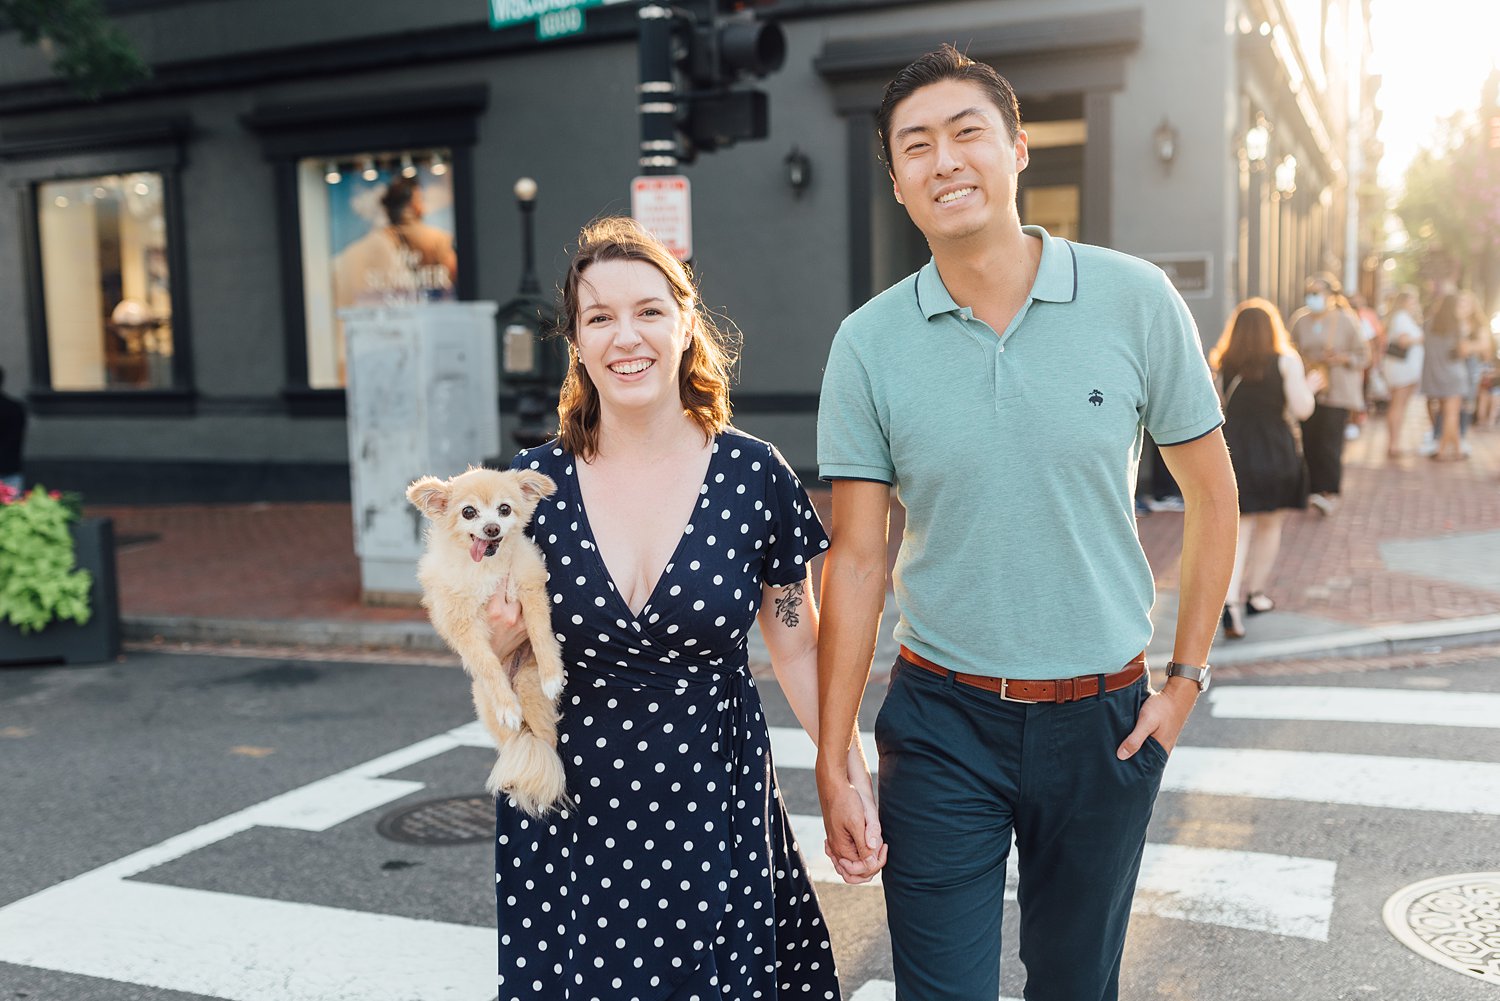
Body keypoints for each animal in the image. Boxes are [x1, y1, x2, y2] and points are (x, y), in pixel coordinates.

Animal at [405, 465, 567, 816]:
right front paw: (507, 706)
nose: (491, 528)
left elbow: (540, 632)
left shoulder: (529, 587)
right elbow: (488, 665)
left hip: (529, 688)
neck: (487, 568)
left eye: (504, 509)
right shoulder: (463, 624)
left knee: (545, 735)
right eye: (469, 512)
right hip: (487, 702)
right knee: (513, 737)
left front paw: (552, 674)